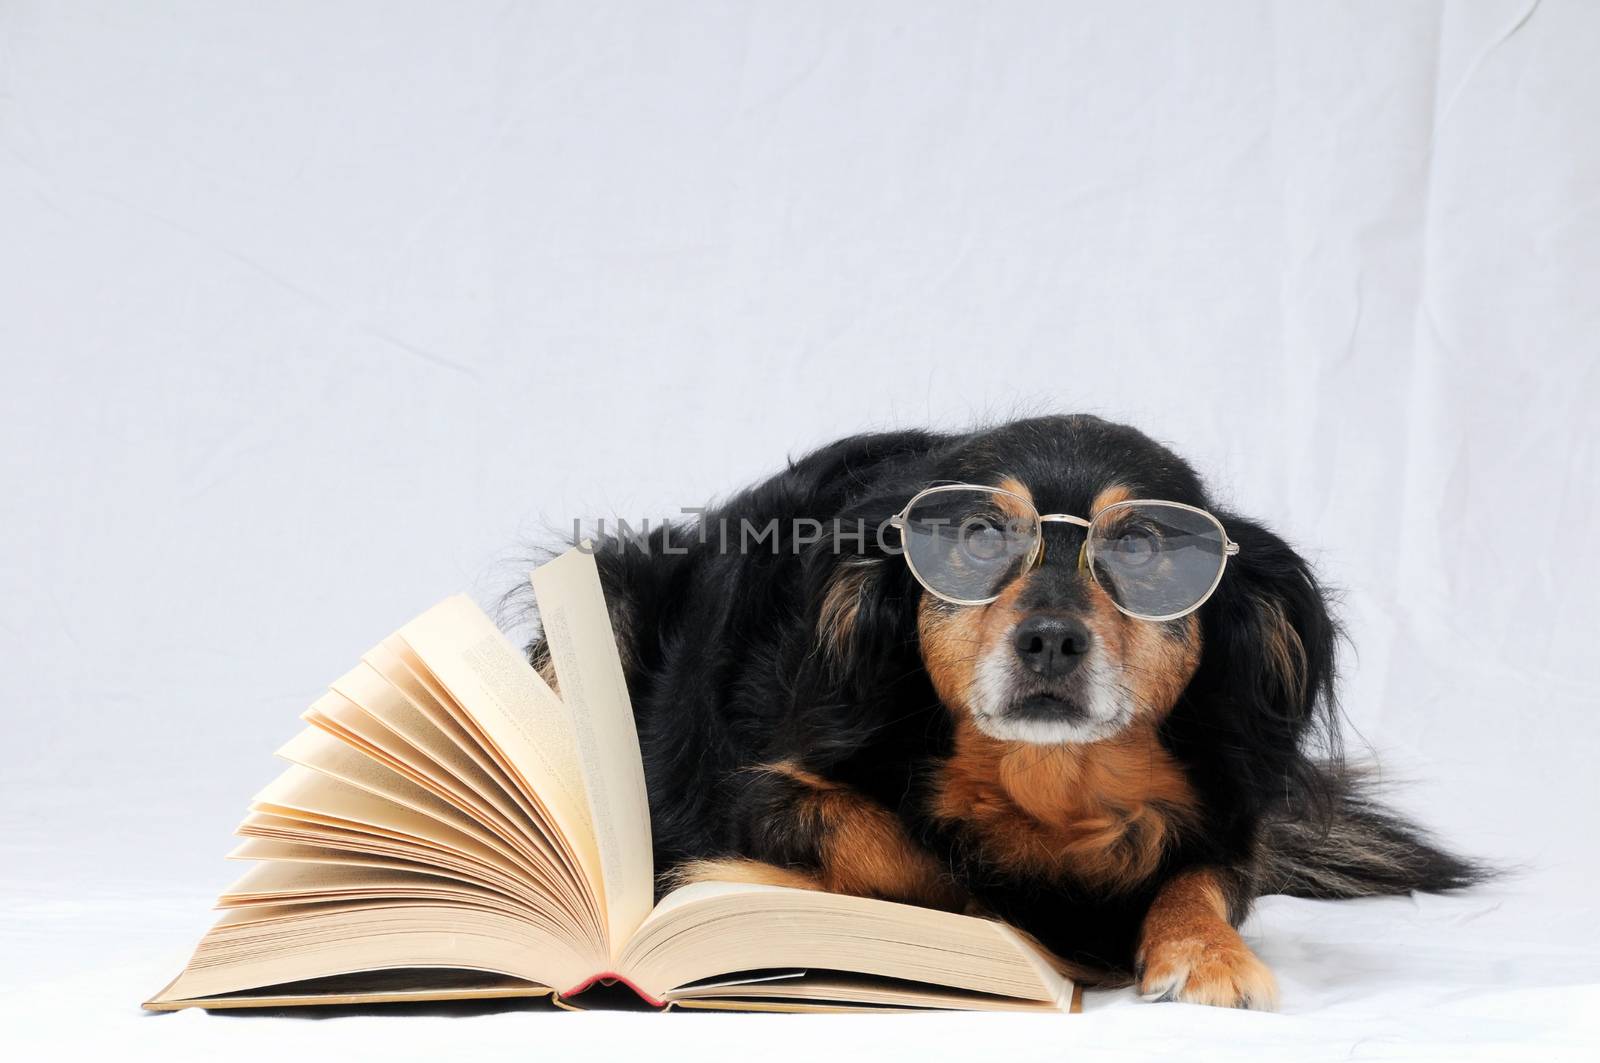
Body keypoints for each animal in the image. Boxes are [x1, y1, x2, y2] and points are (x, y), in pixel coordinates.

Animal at [528, 413, 1484, 1005]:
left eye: (1142, 547)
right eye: (981, 536)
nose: (1051, 640)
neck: (1043, 788)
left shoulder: (1227, 815)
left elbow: (1204, 876)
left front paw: (1206, 952)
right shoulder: (758, 787)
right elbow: (902, 856)